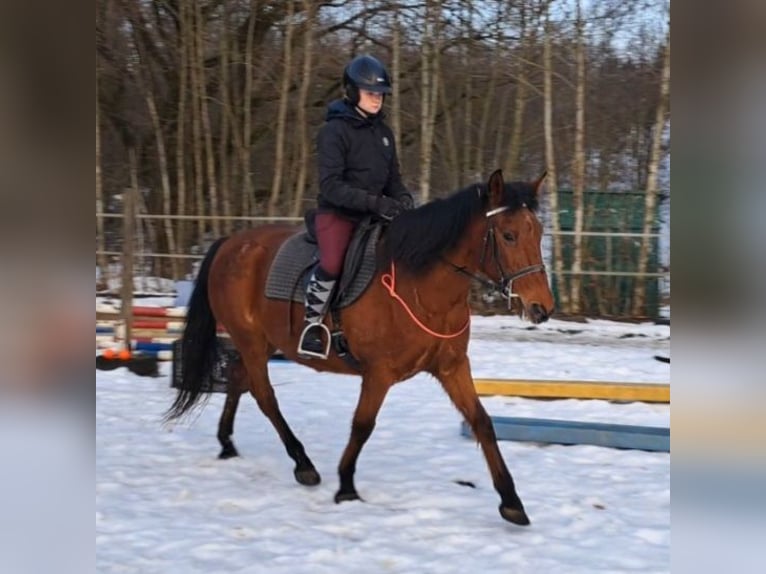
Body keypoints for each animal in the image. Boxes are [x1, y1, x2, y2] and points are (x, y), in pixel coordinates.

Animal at [165, 169, 555, 525]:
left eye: (538, 233)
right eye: (508, 235)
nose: (542, 308)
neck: (422, 287)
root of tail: (231, 242)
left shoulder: (452, 366)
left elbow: (482, 423)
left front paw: (511, 502)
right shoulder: (379, 372)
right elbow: (363, 424)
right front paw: (346, 486)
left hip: (258, 343)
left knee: (236, 378)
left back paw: (227, 444)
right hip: (252, 342)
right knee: (264, 396)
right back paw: (302, 464)